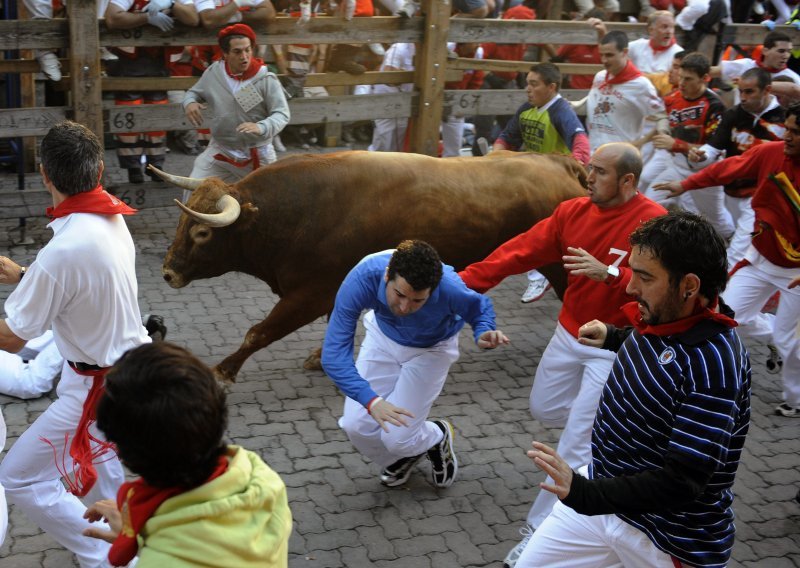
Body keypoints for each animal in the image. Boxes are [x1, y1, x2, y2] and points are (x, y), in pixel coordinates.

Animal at [152, 150, 588, 382]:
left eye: (202, 233)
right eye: (182, 225)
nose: (168, 273)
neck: (302, 211)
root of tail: (560, 164)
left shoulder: (309, 294)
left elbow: (258, 332)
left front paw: (224, 370)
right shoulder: (330, 292)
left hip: (562, 267)